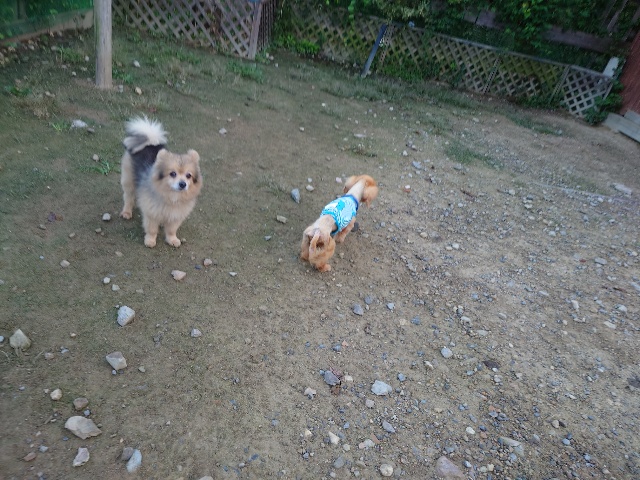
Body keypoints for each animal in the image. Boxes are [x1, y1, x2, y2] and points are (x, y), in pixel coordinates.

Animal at [119, 117, 202, 248]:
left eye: (188, 175)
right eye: (172, 173)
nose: (182, 184)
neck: (172, 196)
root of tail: (150, 142)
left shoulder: (176, 215)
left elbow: (171, 230)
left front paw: (172, 240)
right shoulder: (152, 213)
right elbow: (152, 229)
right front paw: (150, 240)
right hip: (129, 180)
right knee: (128, 196)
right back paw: (127, 212)